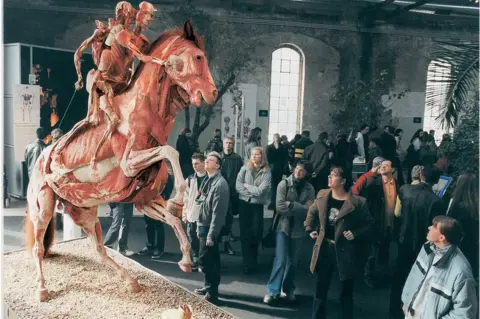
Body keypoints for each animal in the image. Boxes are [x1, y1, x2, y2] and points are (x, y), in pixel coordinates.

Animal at [23, 20, 218, 302]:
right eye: (199, 56)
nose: (213, 92)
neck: (140, 113)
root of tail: (39, 161)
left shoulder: (144, 199)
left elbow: (173, 220)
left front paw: (186, 259)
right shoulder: (130, 164)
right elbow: (171, 151)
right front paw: (179, 199)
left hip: (85, 213)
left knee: (99, 250)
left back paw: (131, 281)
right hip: (44, 208)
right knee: (38, 248)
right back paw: (41, 289)